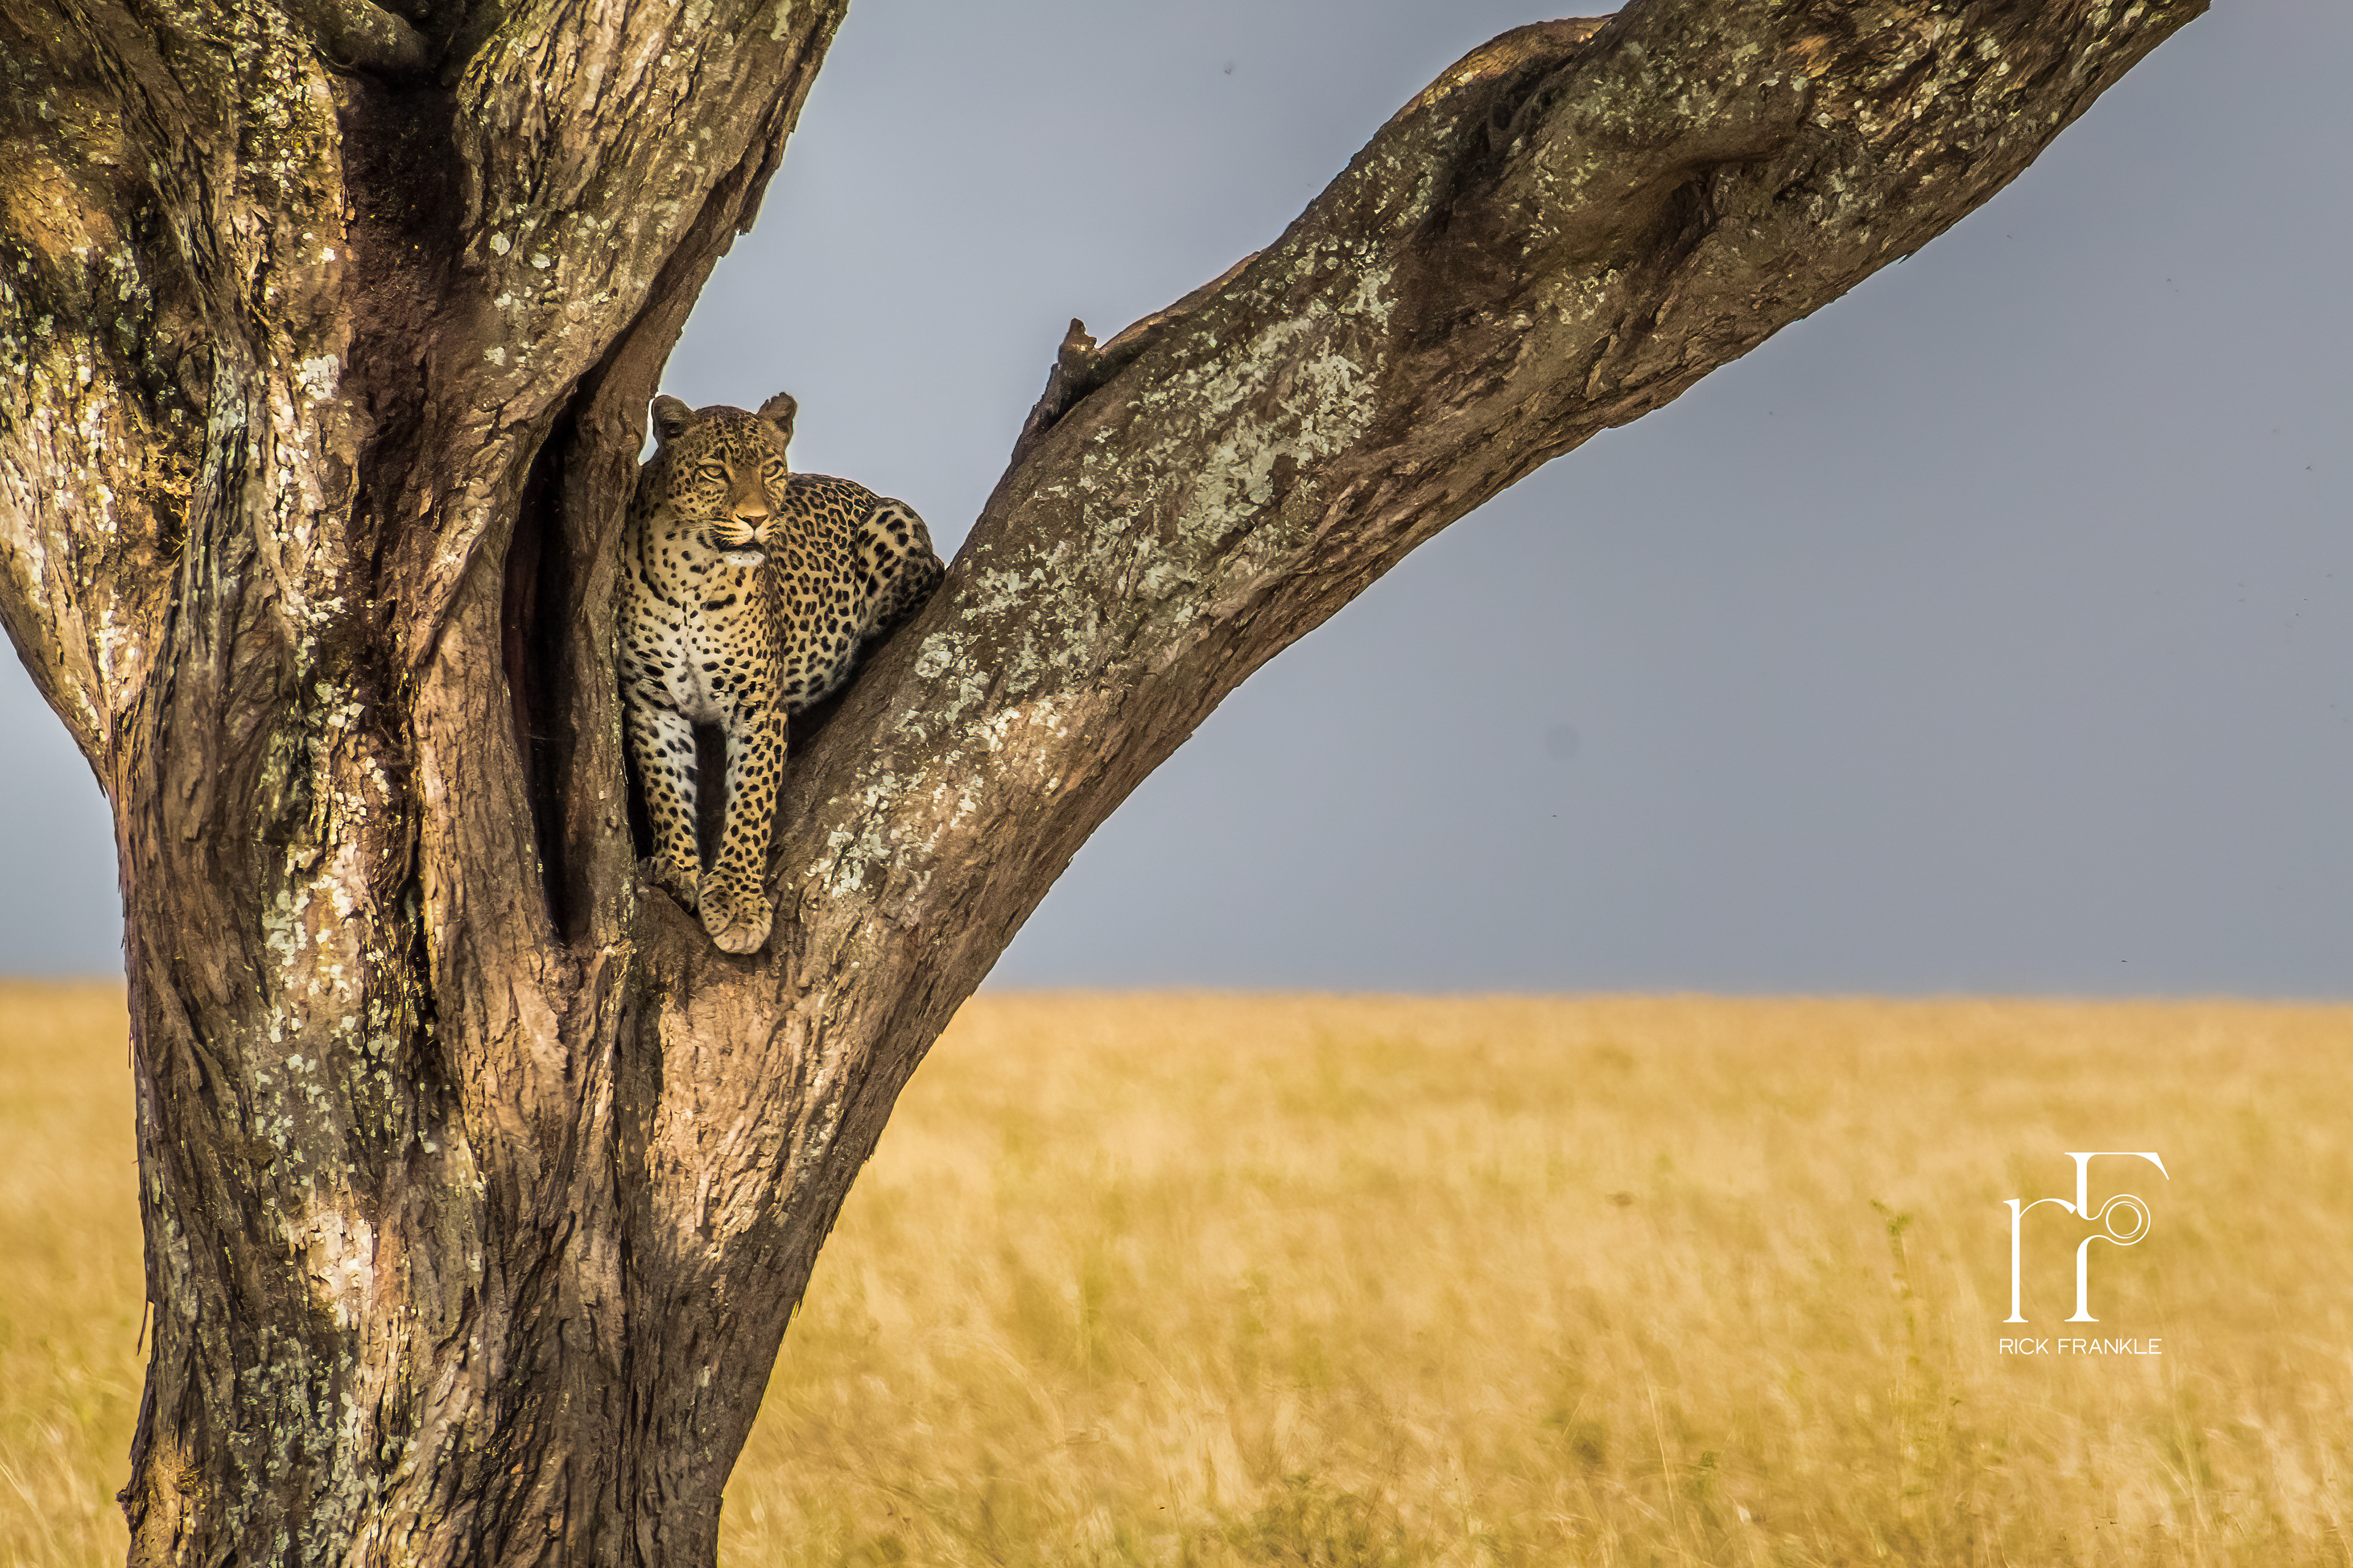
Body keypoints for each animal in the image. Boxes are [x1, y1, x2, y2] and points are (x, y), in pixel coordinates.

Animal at [618, 390, 944, 954]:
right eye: (715, 471)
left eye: (770, 469)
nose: (756, 519)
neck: (691, 572)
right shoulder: (651, 696)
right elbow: (666, 784)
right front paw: (679, 867)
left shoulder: (756, 700)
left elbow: (752, 801)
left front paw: (738, 902)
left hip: (894, 522)